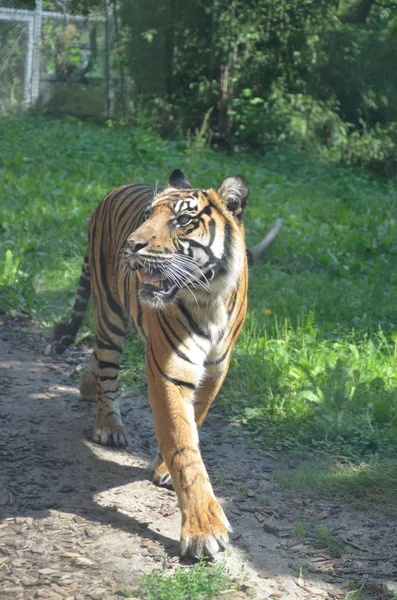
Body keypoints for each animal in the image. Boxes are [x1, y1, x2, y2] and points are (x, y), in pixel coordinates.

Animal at [49, 168, 248, 556]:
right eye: (147, 216)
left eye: (183, 220)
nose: (132, 244)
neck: (209, 298)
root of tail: (114, 189)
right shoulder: (168, 369)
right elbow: (183, 445)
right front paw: (203, 530)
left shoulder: (216, 370)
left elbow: (193, 421)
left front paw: (164, 468)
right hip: (110, 313)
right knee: (108, 369)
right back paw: (108, 425)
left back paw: (86, 386)